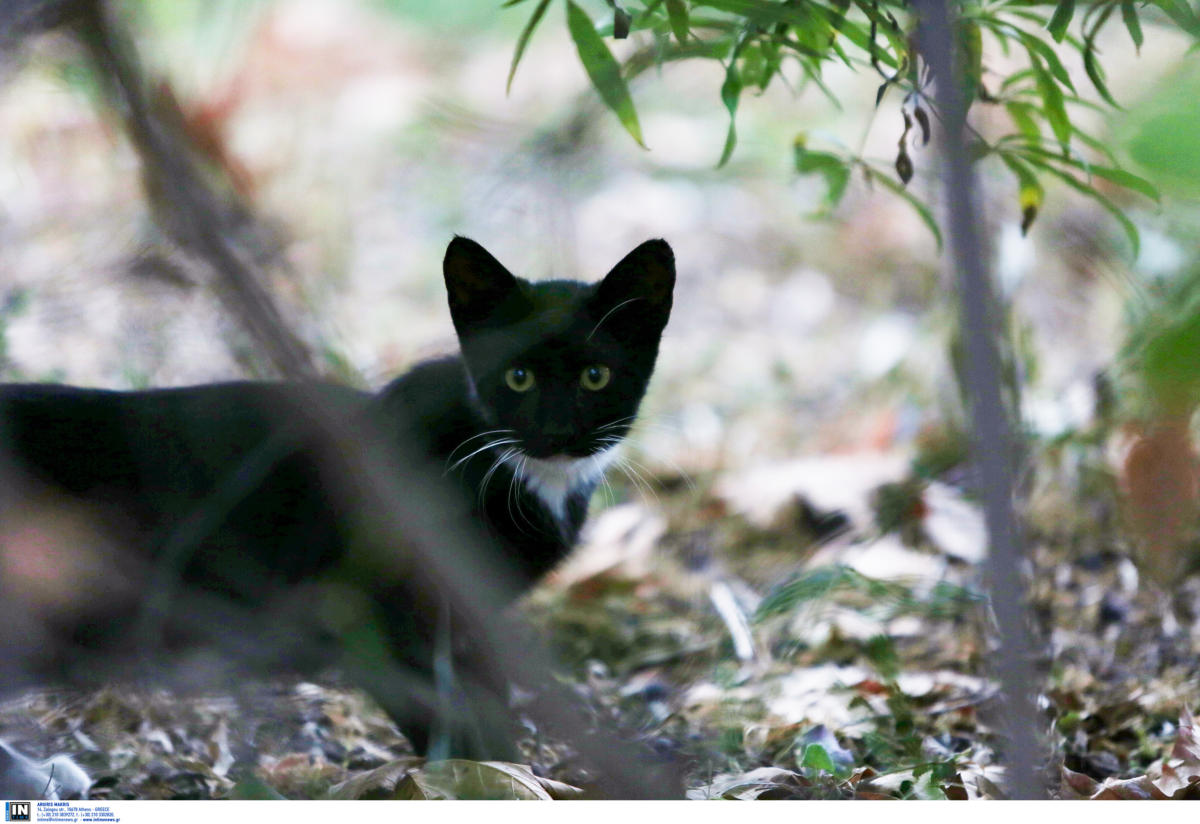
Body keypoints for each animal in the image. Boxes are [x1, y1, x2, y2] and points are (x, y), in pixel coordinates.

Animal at [0, 237, 676, 762]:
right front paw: (476, 779)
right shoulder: (375, 614)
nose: (558, 431)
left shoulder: (465, 621)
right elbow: (442, 714)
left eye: (596, 377)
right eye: (519, 377)